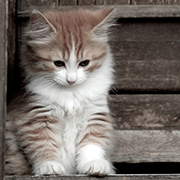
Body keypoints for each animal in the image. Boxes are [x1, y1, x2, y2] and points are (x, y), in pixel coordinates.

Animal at [5, 7, 116, 175]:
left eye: (84, 63)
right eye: (58, 63)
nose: (71, 79)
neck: (70, 94)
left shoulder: (94, 114)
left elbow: (92, 143)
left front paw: (93, 163)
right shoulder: (35, 116)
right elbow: (42, 144)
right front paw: (49, 165)